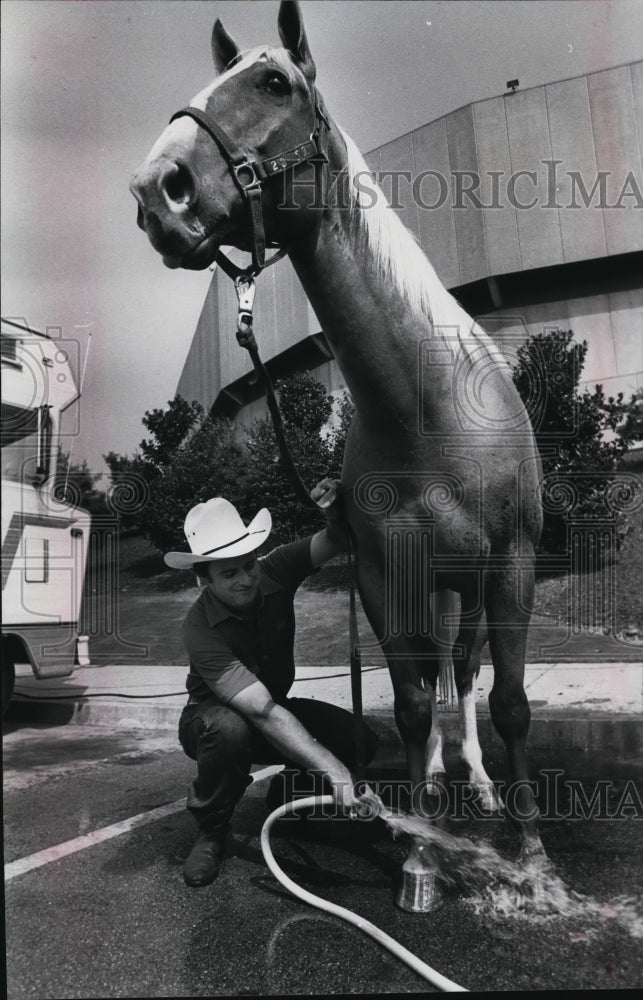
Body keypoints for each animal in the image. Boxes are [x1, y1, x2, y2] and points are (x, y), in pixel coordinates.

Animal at [132, 0, 548, 876]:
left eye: (273, 81)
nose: (158, 191)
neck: (427, 415)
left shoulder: (512, 563)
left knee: (466, 672)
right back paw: (440, 783)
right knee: (436, 675)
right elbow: (413, 703)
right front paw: (422, 848)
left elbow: (509, 700)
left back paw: (480, 785)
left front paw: (528, 844)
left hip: (468, 582)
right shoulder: (384, 576)